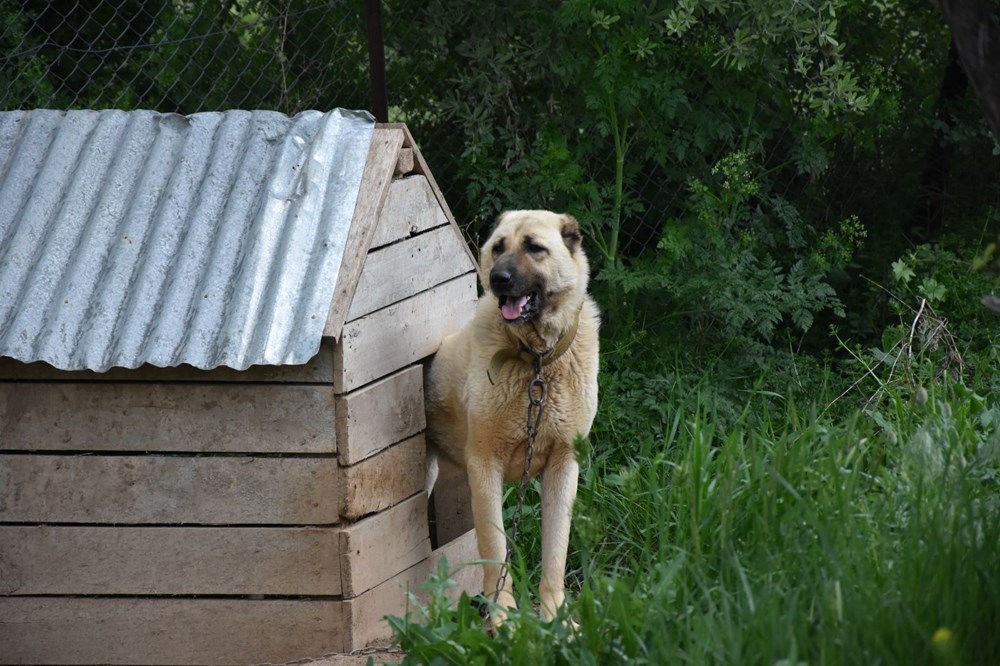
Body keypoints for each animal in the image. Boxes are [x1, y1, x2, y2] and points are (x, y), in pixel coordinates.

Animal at [424, 209, 596, 624]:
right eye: (498, 248)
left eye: (534, 248)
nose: (499, 279)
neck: (537, 361)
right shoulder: (485, 466)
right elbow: (494, 549)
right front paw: (502, 618)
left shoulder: (564, 467)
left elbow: (555, 553)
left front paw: (555, 617)